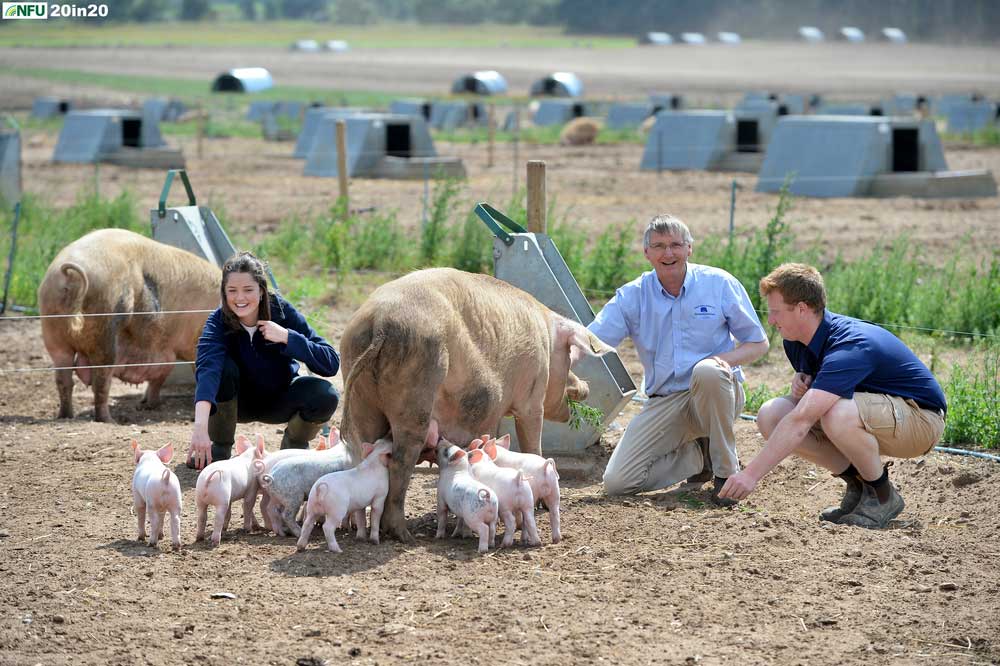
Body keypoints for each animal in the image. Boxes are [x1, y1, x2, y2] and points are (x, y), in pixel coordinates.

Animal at [39, 230, 221, 420]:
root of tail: (70, 277)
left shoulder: (165, 351)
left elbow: (159, 376)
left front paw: (149, 405)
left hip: (53, 331)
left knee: (64, 379)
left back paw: (66, 416)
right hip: (105, 327)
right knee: (101, 381)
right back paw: (108, 420)